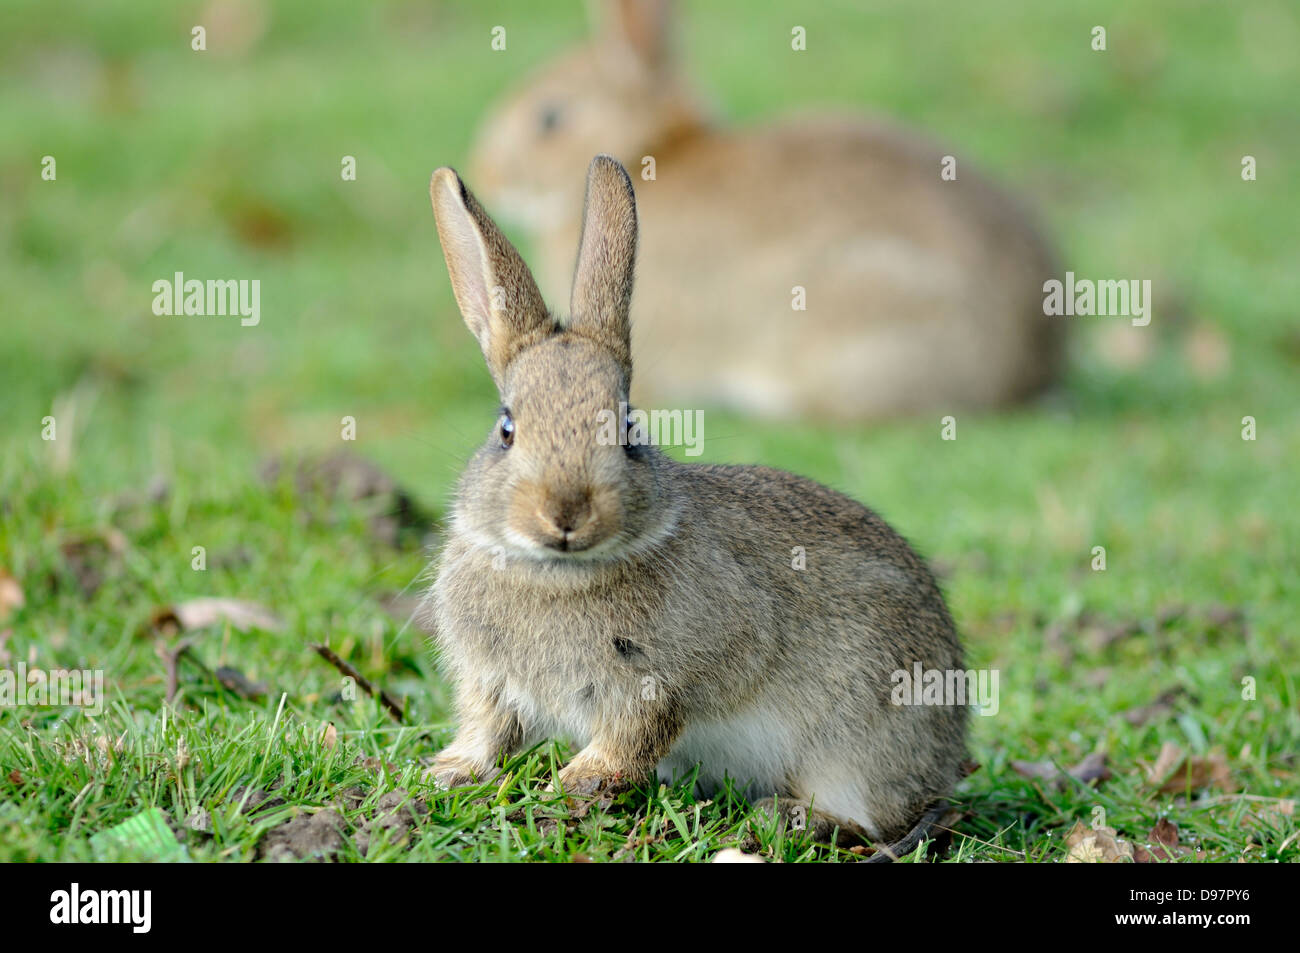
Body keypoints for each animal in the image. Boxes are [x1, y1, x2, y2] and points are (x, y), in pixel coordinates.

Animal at [421, 154, 972, 852]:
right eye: (506, 428)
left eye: (628, 431)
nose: (566, 514)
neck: (559, 572)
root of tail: (949, 756)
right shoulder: (491, 685)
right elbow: (487, 732)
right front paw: (448, 772)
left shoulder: (664, 684)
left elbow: (633, 739)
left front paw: (569, 786)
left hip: (857, 743)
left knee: (867, 815)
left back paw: (785, 816)